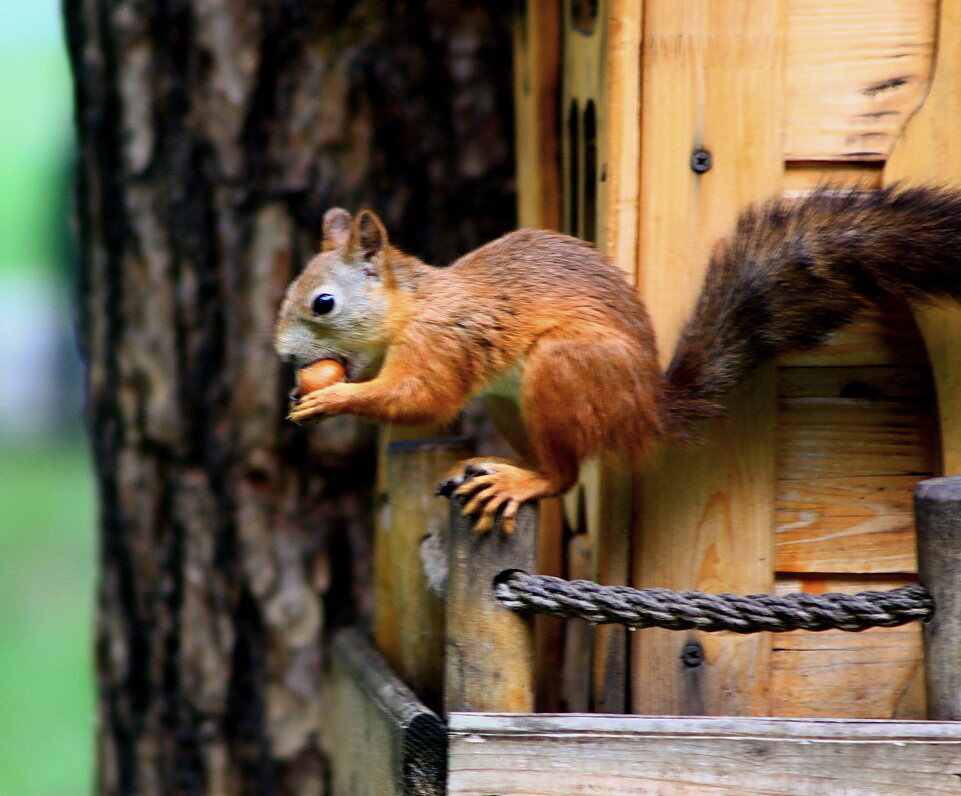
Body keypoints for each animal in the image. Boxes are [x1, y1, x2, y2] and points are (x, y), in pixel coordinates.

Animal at [272, 188, 961, 528]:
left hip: (563, 369)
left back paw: (521, 480)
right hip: (515, 404)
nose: (283, 357)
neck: (412, 308)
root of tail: (647, 410)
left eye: (324, 303)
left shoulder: (444, 342)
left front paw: (332, 398)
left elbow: (423, 399)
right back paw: (493, 466)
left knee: (564, 476)